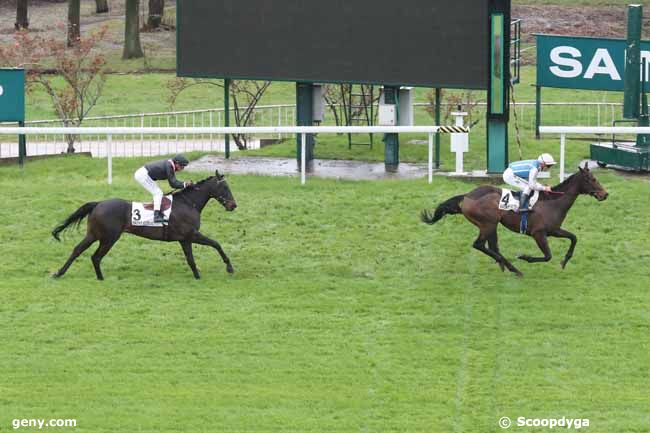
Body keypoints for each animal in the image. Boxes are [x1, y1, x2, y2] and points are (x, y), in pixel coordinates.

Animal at [50, 170, 237, 278]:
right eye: (225, 188)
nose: (233, 205)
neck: (188, 203)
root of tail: (98, 203)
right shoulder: (191, 234)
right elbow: (216, 244)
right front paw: (229, 267)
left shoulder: (185, 239)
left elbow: (191, 259)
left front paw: (197, 275)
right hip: (108, 237)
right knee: (95, 256)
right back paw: (99, 277)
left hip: (94, 234)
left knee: (78, 250)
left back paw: (60, 273)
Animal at [420, 164, 608, 276]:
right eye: (592, 179)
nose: (605, 194)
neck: (553, 202)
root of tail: (466, 196)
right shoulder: (539, 233)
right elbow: (547, 255)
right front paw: (525, 257)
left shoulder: (554, 230)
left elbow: (574, 238)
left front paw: (564, 261)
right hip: (488, 224)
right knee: (479, 245)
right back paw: (513, 268)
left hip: (491, 225)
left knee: (492, 247)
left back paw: (505, 265)